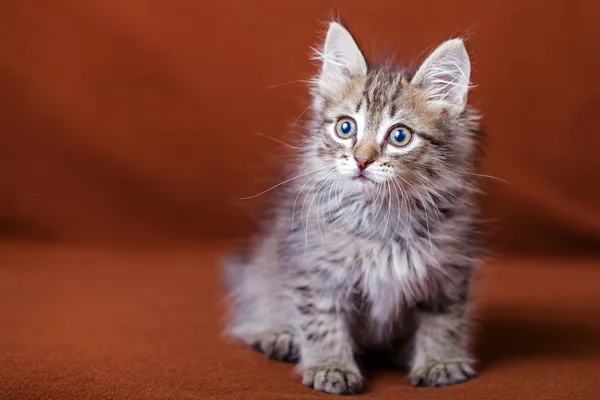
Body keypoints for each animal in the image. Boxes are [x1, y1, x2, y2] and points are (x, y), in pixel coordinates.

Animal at [224, 21, 482, 394]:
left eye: (400, 136)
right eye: (346, 127)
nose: (361, 160)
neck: (382, 214)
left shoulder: (448, 270)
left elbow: (443, 321)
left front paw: (440, 361)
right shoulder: (315, 269)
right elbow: (322, 322)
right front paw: (331, 367)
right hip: (262, 273)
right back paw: (277, 335)